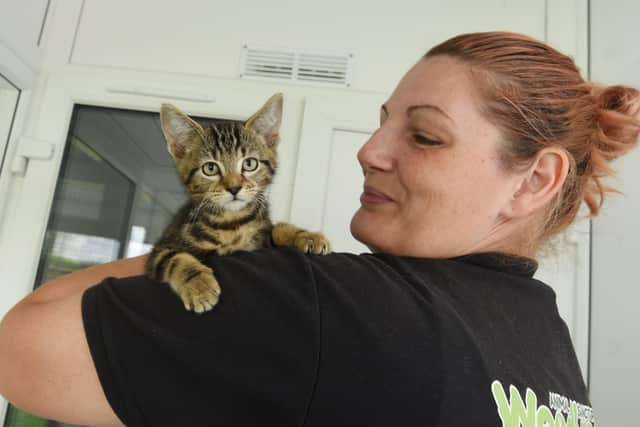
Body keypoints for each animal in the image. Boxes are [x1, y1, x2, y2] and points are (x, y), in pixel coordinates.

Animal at [146, 94, 330, 314]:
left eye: (250, 164)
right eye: (210, 168)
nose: (234, 187)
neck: (232, 223)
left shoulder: (261, 240)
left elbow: (277, 229)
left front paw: (305, 235)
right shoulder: (160, 250)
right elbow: (175, 258)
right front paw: (199, 286)